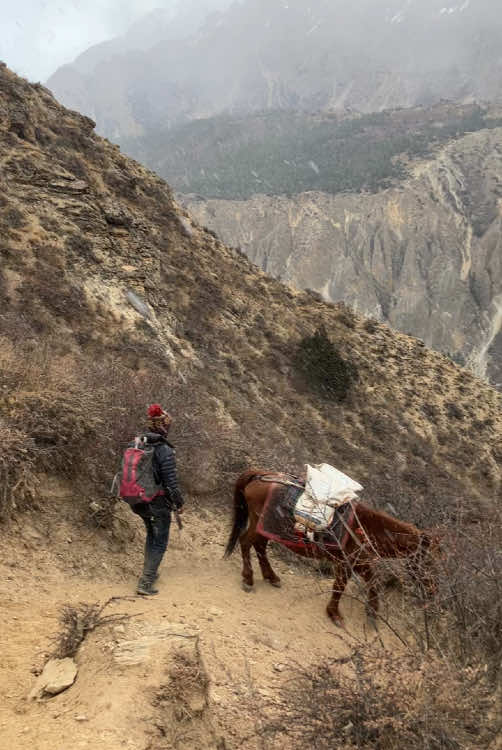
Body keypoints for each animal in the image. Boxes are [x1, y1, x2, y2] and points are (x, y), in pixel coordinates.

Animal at [224, 470, 440, 628]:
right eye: (429, 562)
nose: (433, 590)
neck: (366, 529)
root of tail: (260, 475)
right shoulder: (345, 564)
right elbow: (339, 586)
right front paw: (334, 614)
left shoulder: (361, 563)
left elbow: (374, 582)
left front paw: (372, 612)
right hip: (257, 524)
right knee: (246, 542)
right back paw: (248, 579)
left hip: (266, 528)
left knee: (259, 547)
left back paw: (271, 577)